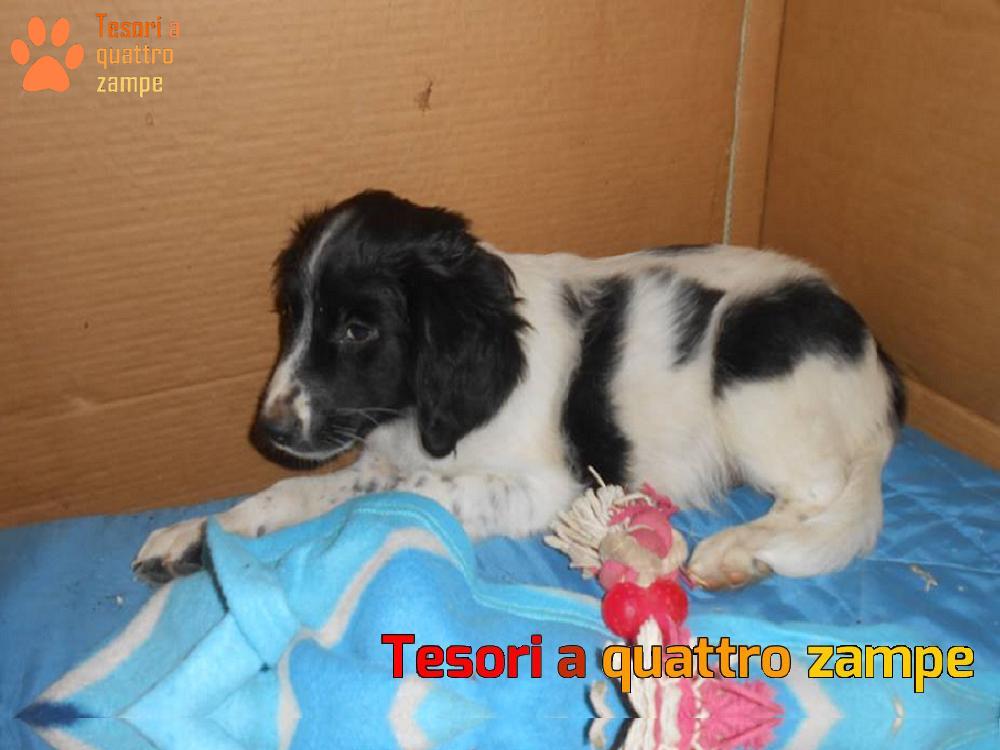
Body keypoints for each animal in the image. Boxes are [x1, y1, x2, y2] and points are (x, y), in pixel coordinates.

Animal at [134, 189, 905, 589]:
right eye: (293, 314)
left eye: (357, 329)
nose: (268, 430)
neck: (418, 415)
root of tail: (883, 378)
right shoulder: (374, 461)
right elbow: (293, 492)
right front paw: (199, 534)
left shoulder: (546, 487)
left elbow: (400, 501)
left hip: (752, 364)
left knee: (818, 492)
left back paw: (737, 550)